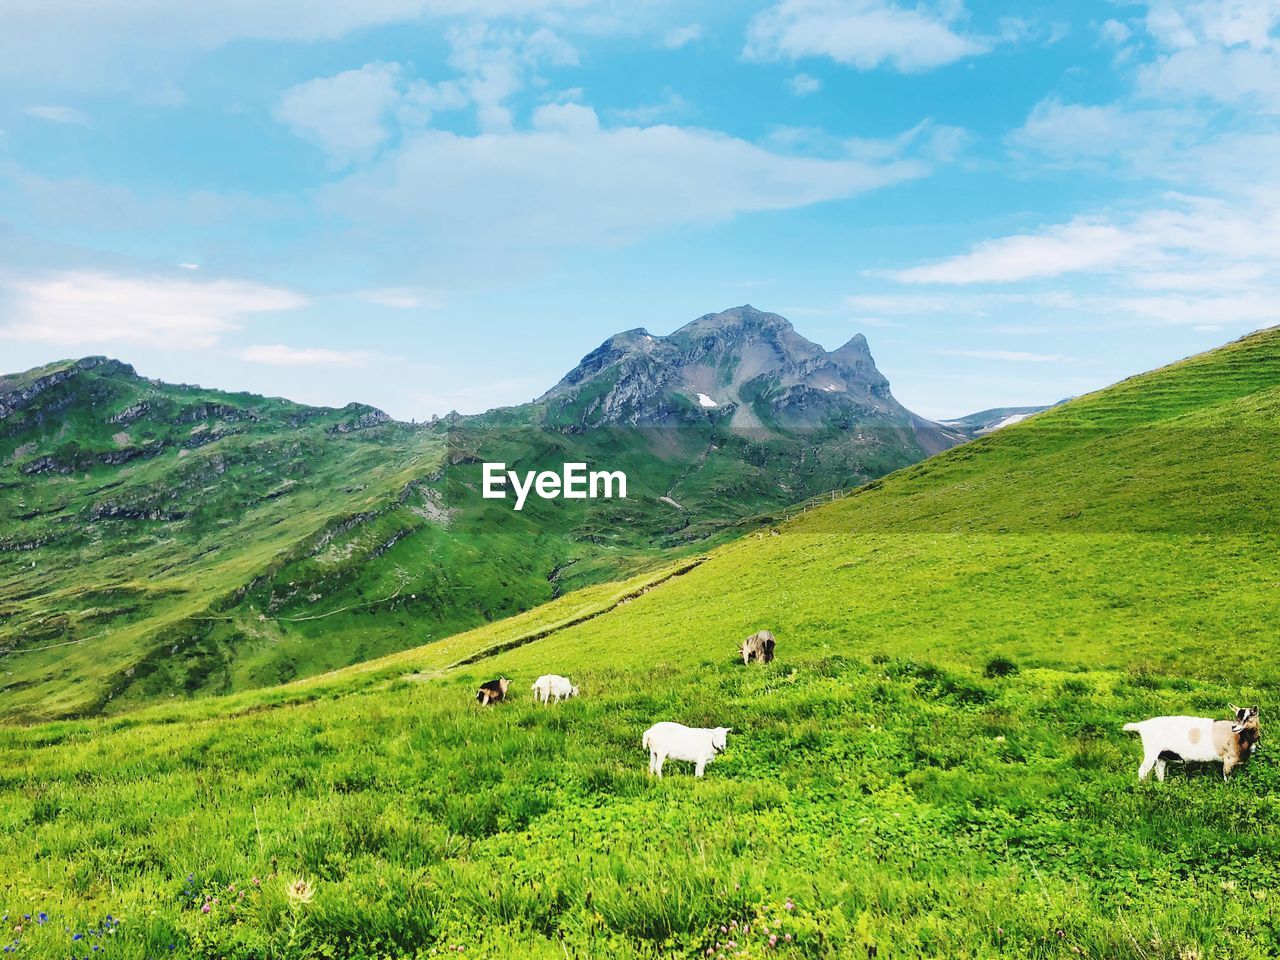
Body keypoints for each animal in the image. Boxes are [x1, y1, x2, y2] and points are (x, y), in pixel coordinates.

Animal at [1121, 706, 1259, 783]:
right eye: (1236, 716)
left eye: (1249, 717)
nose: (1234, 727)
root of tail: (1141, 726)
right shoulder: (1228, 759)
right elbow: (1227, 777)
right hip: (1151, 751)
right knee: (1142, 771)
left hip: (1162, 755)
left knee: (1159, 770)